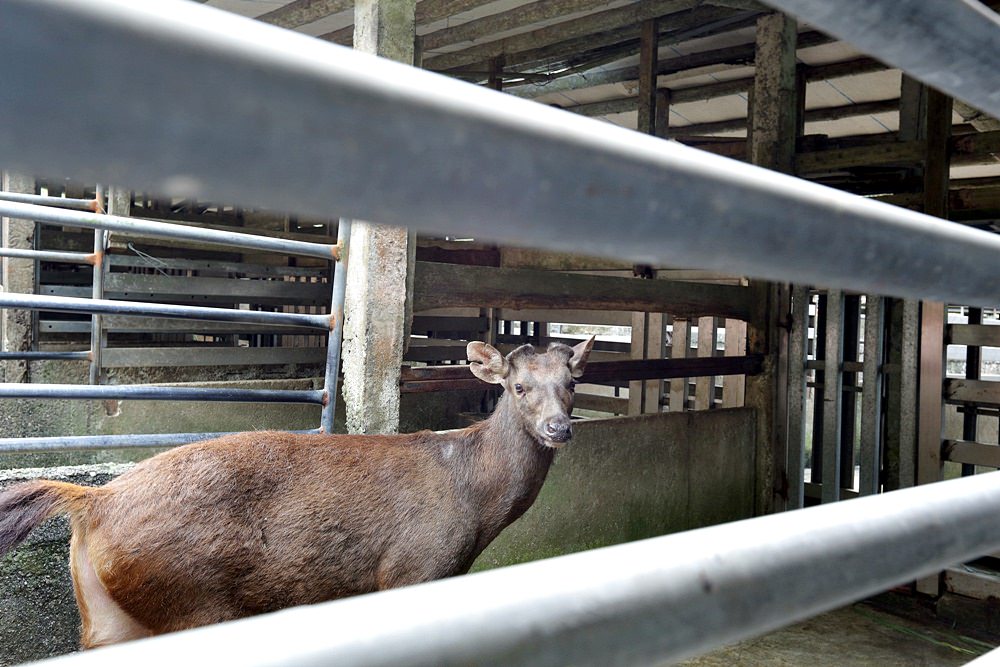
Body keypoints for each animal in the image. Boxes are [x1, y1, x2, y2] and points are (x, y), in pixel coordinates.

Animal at [0, 336, 592, 648]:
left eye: (571, 383)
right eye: (519, 386)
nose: (560, 428)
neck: (476, 512)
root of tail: (91, 500)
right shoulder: (413, 567)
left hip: (105, 616)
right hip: (190, 599)